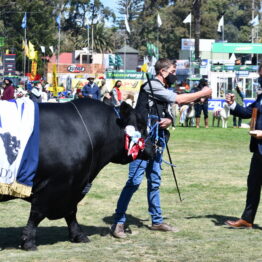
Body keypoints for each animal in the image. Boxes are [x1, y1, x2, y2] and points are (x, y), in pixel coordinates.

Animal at [0, 98, 154, 250]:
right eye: (141, 126)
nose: (154, 147)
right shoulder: (55, 186)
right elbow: (37, 214)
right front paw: (28, 241)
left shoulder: (74, 186)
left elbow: (71, 213)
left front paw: (78, 235)